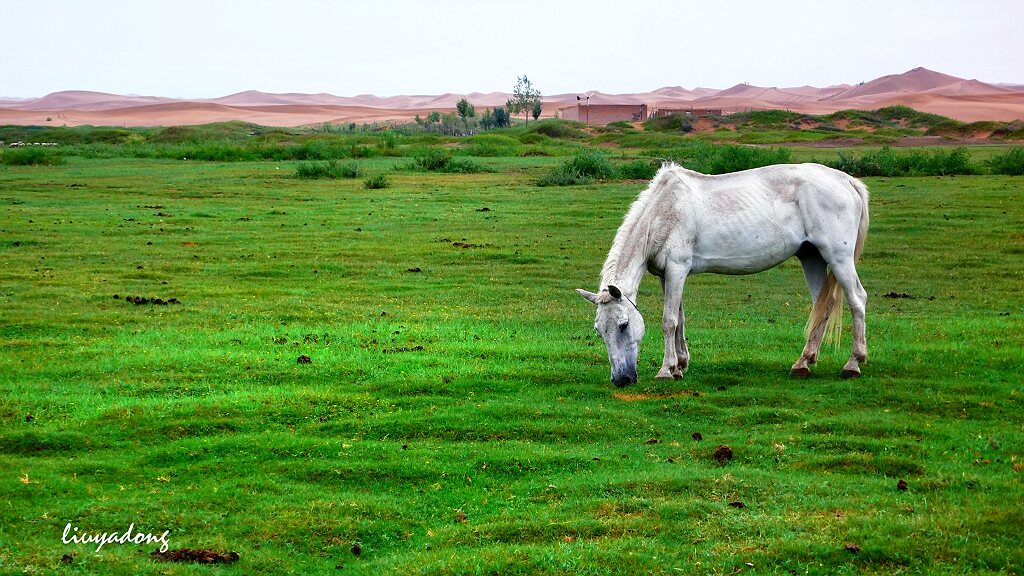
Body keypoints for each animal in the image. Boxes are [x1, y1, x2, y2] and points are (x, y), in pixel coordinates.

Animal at [581, 161, 868, 385]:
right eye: (599, 331)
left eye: (623, 325)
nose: (621, 379)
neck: (663, 212)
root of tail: (847, 181)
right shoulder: (667, 275)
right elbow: (679, 319)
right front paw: (680, 366)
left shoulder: (676, 269)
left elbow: (668, 321)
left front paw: (666, 370)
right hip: (812, 258)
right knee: (824, 305)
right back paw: (803, 363)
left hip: (838, 257)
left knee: (857, 300)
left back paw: (853, 364)